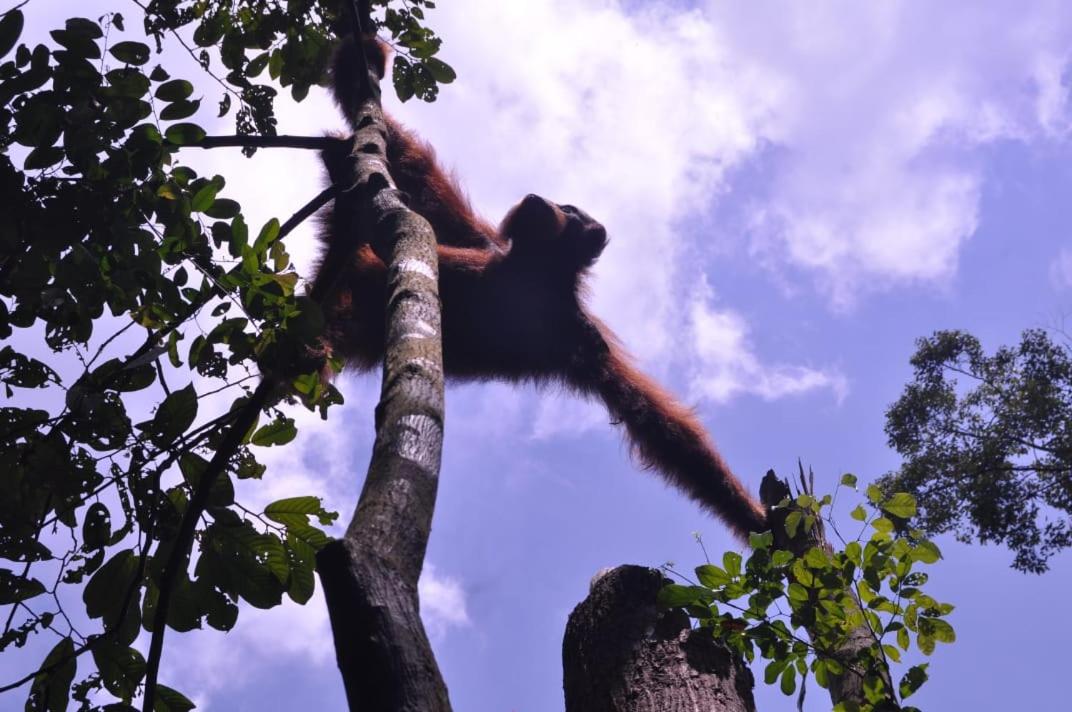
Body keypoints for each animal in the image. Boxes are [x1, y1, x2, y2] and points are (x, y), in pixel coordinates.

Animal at [312, 37, 767, 540]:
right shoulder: (489, 246)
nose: (541, 199)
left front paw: (761, 522)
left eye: (570, 211)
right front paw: (362, 59)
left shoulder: (582, 335)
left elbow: (655, 423)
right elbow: (426, 185)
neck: (534, 274)